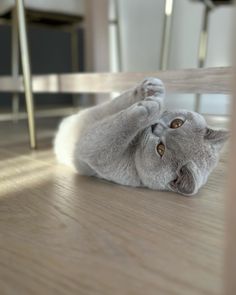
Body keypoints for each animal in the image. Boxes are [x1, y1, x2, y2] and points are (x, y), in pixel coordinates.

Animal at [54, 79, 229, 197]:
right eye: (177, 123)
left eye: (160, 149)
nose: (155, 127)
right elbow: (120, 108)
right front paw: (152, 91)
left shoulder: (92, 148)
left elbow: (117, 129)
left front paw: (149, 107)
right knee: (112, 105)